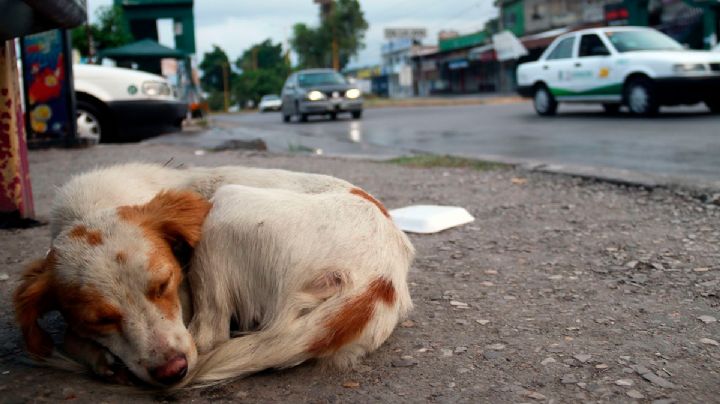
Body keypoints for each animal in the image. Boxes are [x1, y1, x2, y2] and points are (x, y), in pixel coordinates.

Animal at [12, 163, 410, 386]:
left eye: (165, 284)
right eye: (100, 319)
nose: (172, 373)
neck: (90, 207)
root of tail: (379, 278)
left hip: (223, 208)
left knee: (209, 335)